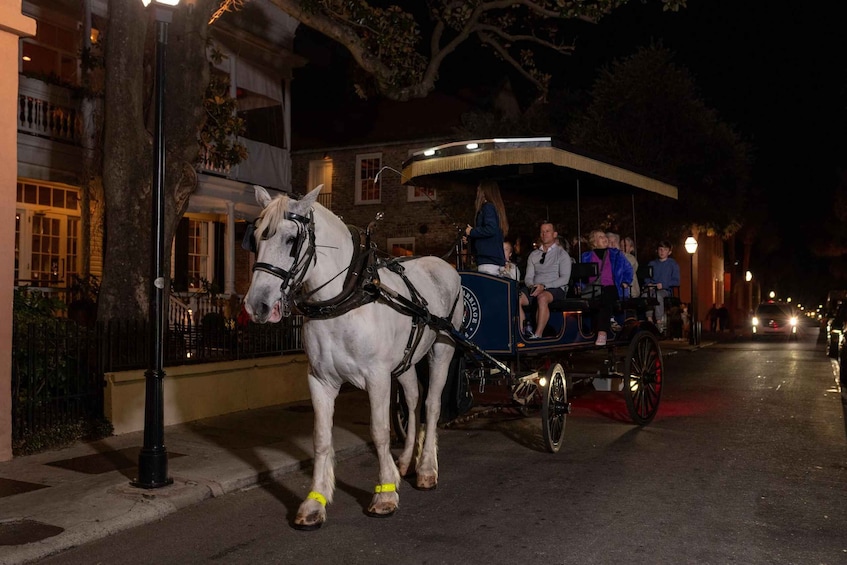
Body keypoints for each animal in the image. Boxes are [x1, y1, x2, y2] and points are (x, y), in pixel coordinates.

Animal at [243, 184, 464, 528]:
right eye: (255, 239)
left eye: (291, 240)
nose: (257, 305)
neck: (344, 299)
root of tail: (445, 265)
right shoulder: (320, 380)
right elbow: (321, 438)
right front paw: (315, 501)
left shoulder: (377, 377)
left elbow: (379, 431)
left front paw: (385, 493)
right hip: (405, 362)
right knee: (413, 401)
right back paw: (406, 461)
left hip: (443, 348)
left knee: (431, 405)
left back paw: (427, 467)